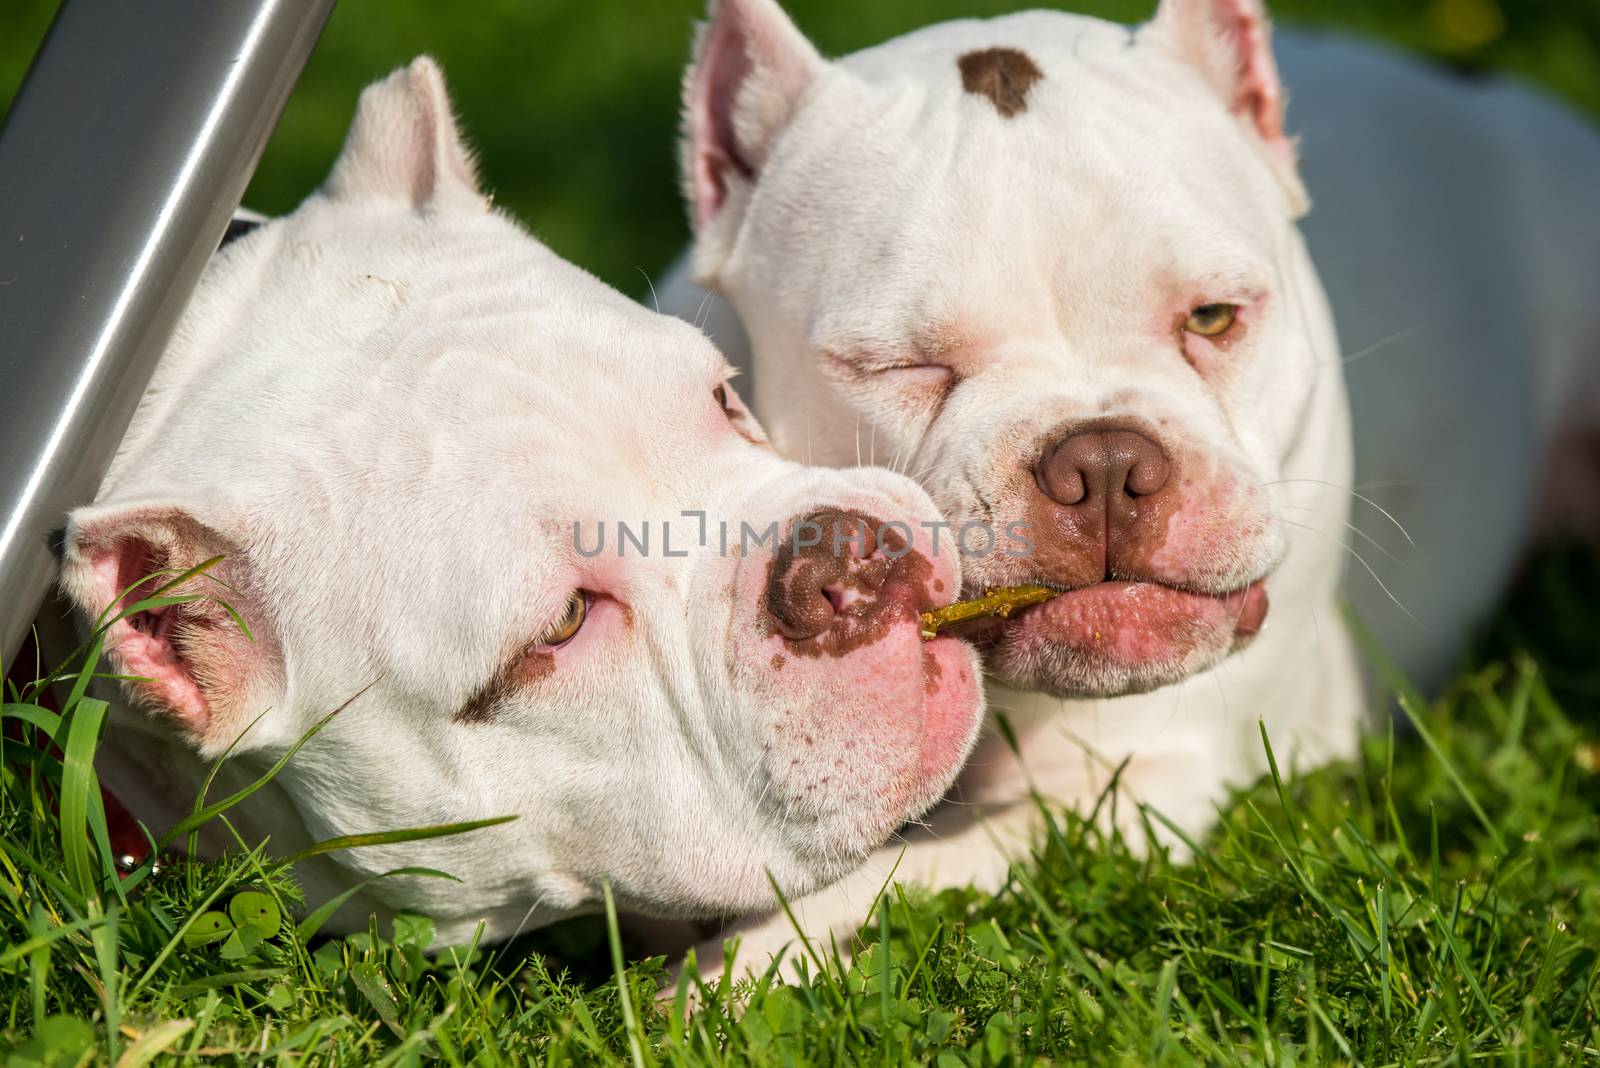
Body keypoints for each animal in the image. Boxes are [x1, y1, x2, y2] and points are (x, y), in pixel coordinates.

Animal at [652, 0, 1600, 978]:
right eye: (901, 366)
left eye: (1214, 317)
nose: (1103, 461)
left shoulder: (1128, 792)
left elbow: (892, 876)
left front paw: (732, 969)